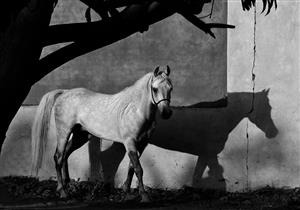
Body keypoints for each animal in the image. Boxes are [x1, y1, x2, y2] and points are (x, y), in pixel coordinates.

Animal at [31, 65, 172, 202]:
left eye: (170, 88)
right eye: (154, 89)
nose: (166, 113)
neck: (135, 110)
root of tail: (64, 92)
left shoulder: (142, 144)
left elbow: (132, 167)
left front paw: (126, 190)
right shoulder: (130, 142)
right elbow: (139, 169)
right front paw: (144, 196)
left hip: (80, 136)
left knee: (65, 154)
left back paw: (67, 184)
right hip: (64, 132)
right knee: (58, 157)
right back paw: (62, 191)